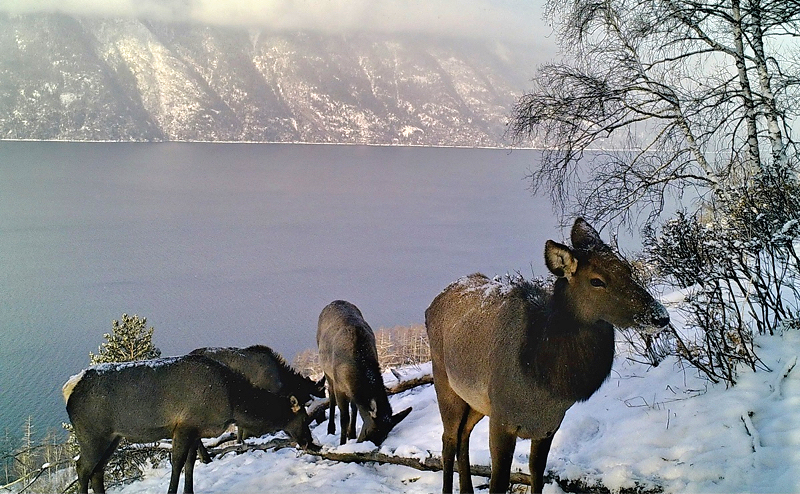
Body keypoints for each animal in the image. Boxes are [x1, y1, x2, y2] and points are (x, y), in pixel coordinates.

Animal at [63, 354, 318, 492]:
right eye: (304, 418)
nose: (310, 442)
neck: (232, 403)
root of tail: (68, 389)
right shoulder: (184, 425)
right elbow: (177, 463)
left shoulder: (196, 429)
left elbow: (190, 463)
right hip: (92, 434)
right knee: (82, 467)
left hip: (113, 438)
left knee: (98, 470)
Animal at [316, 302, 412, 448]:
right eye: (368, 431)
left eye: (384, 436)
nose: (365, 445)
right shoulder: (339, 385)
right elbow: (344, 417)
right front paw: (342, 443)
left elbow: (355, 408)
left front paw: (351, 434)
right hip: (327, 371)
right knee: (331, 396)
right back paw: (330, 429)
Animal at [424, 219, 668, 494]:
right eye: (596, 281)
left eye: (627, 269)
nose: (660, 316)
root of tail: (432, 304)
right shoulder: (502, 419)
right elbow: (499, 482)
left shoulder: (548, 426)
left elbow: (536, 474)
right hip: (445, 383)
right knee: (448, 440)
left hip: (475, 401)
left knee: (463, 434)